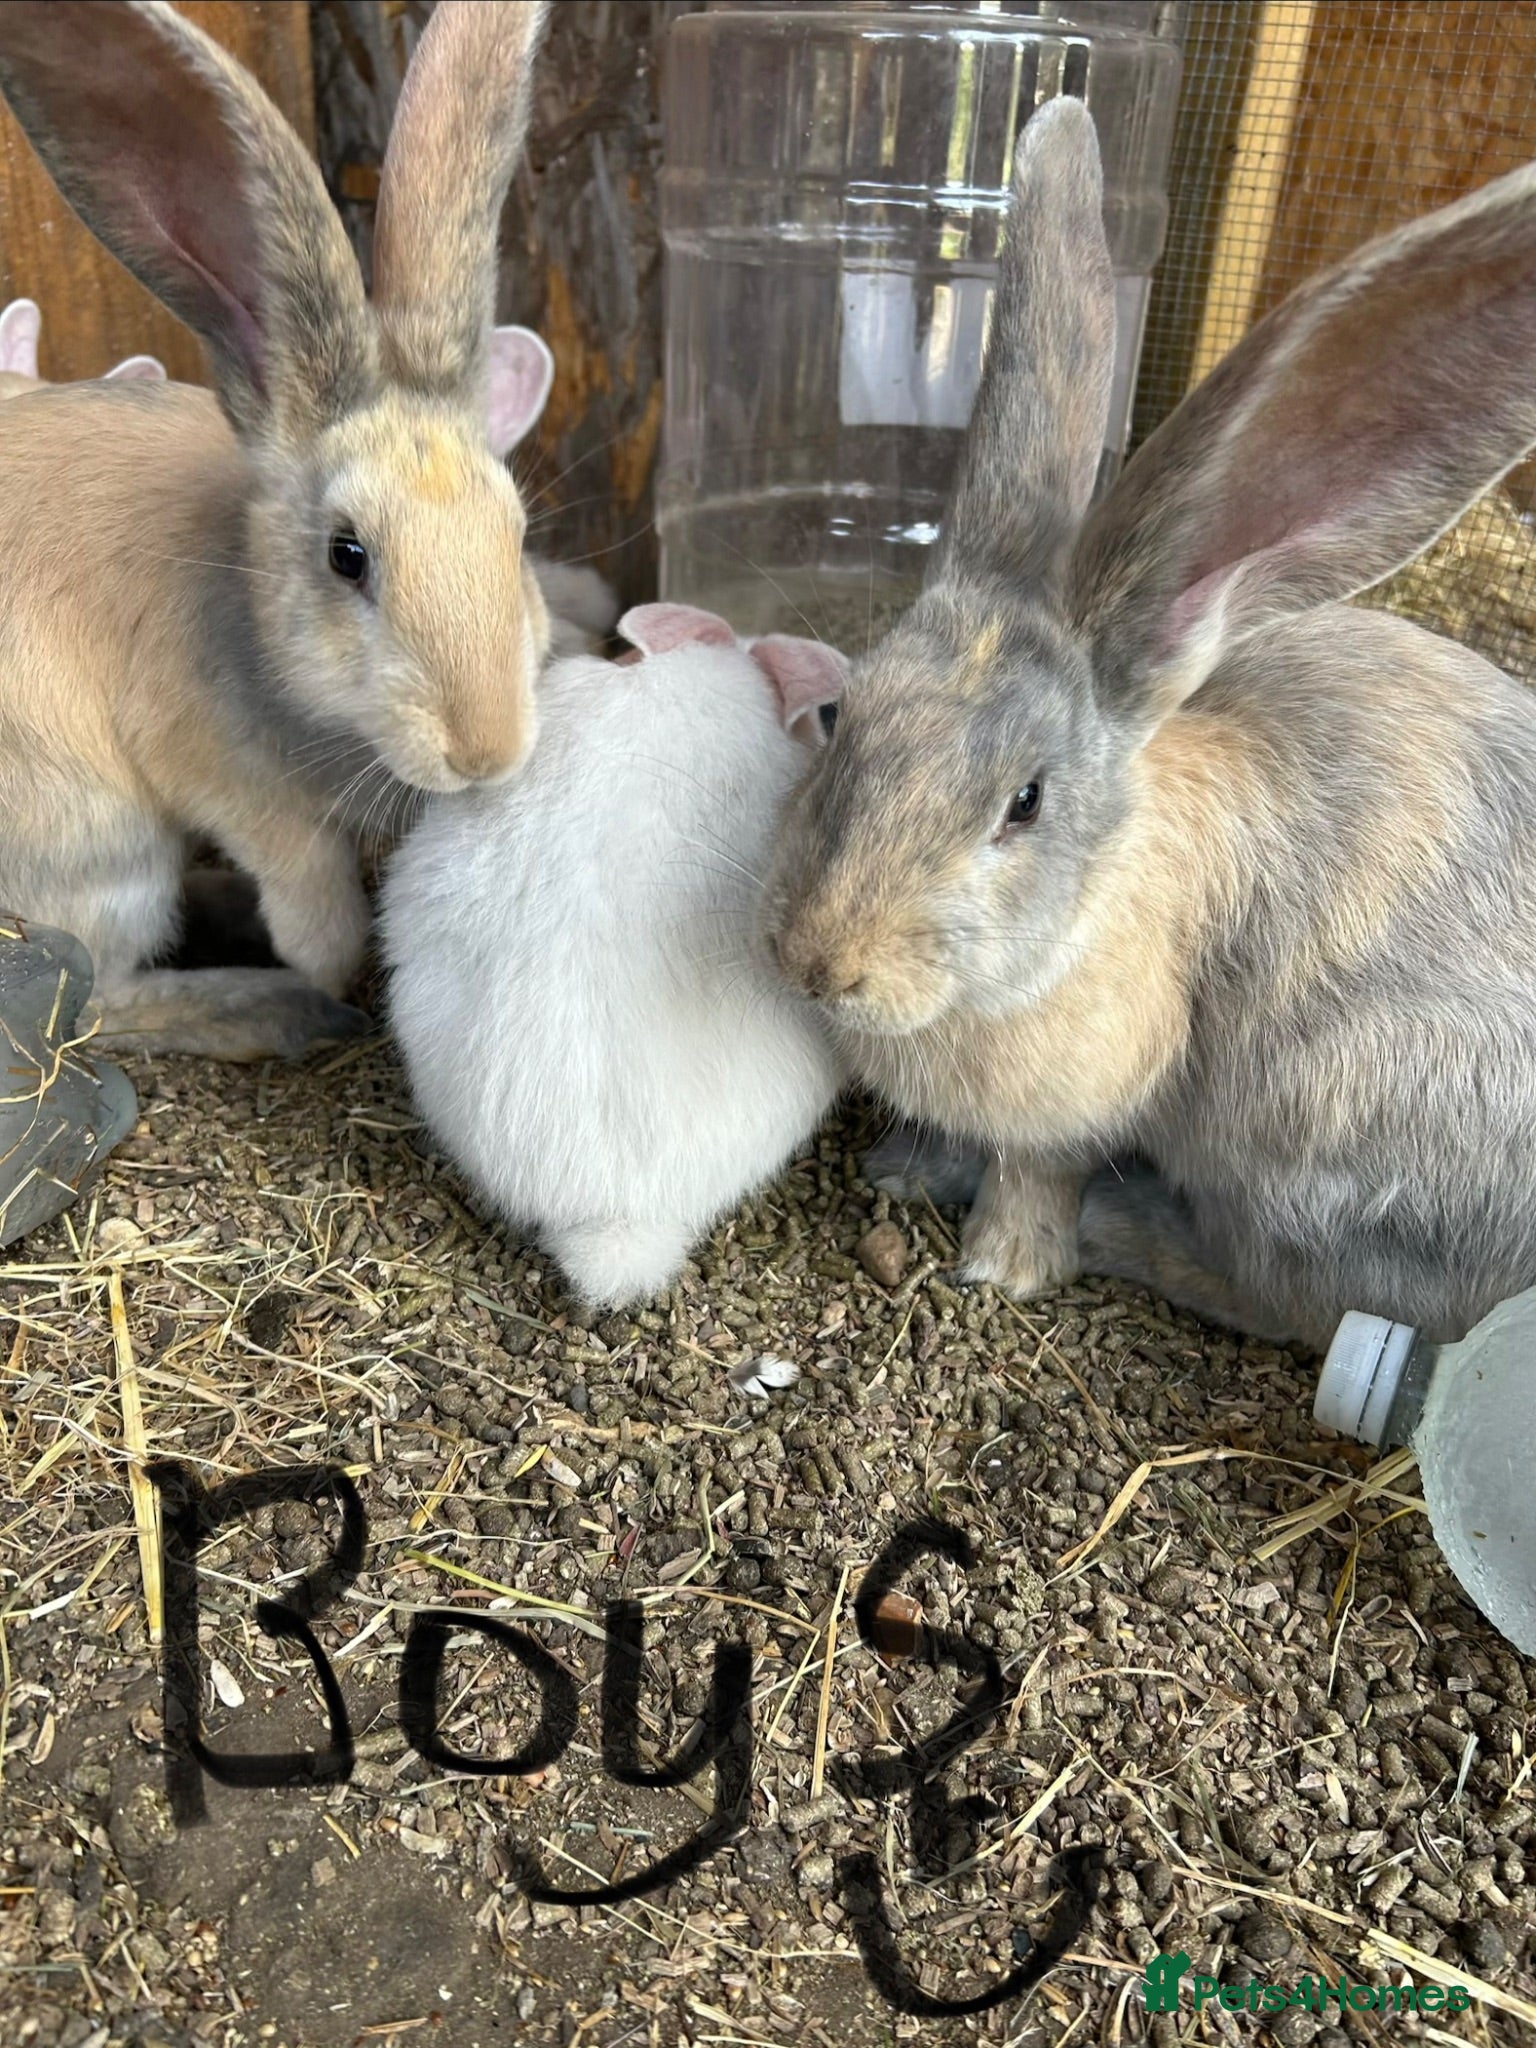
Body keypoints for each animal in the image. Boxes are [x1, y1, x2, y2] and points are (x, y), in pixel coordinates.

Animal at [765, 93, 1536, 1353]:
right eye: (838, 713)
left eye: (1025, 802)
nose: (820, 963)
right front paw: (904, 1168)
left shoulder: (1089, 1102)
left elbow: (1041, 1167)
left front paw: (1004, 1265)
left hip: (1314, 1130)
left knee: (1302, 1298)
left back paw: (1125, 1233)